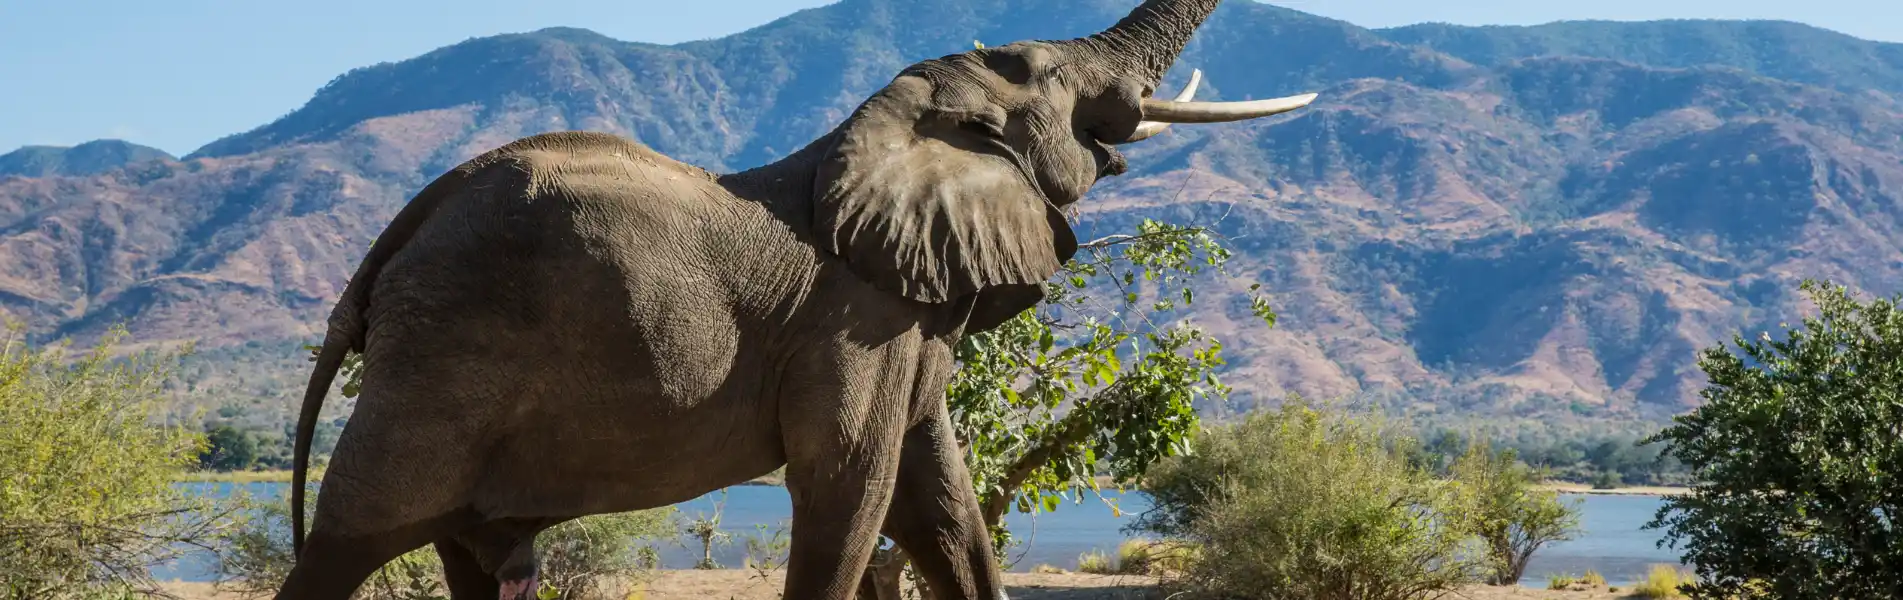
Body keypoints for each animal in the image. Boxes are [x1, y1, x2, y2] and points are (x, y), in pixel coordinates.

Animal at [275, 1, 1316, 600]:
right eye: (1049, 79)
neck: (883, 126)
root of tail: (388, 248)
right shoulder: (854, 322)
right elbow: (852, 486)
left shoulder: (908, 318)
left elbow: (939, 503)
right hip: (442, 361)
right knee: (346, 544)